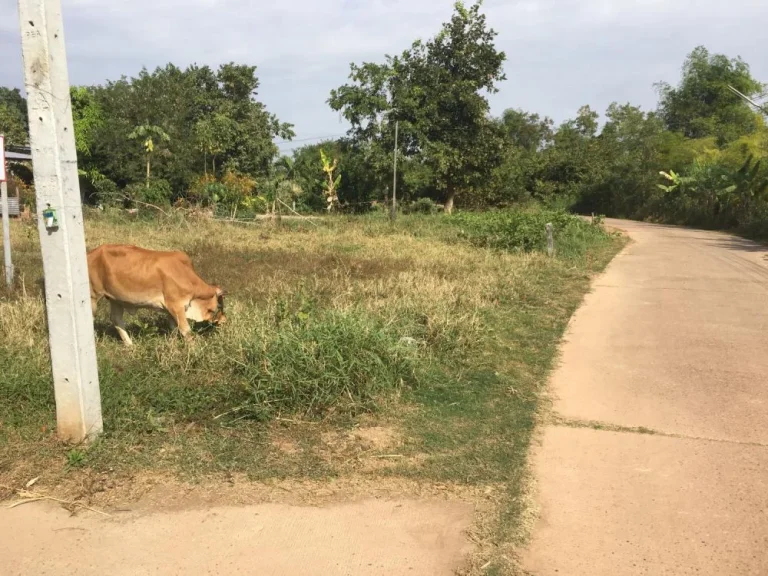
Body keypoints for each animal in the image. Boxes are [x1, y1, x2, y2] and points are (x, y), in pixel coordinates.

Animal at [88, 244, 225, 346]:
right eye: (220, 305)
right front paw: (194, 349)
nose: (224, 321)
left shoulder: (170, 309)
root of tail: (90, 253)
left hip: (116, 299)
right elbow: (186, 331)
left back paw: (130, 345)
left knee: (116, 319)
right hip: (93, 297)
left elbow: (174, 329)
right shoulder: (176, 306)